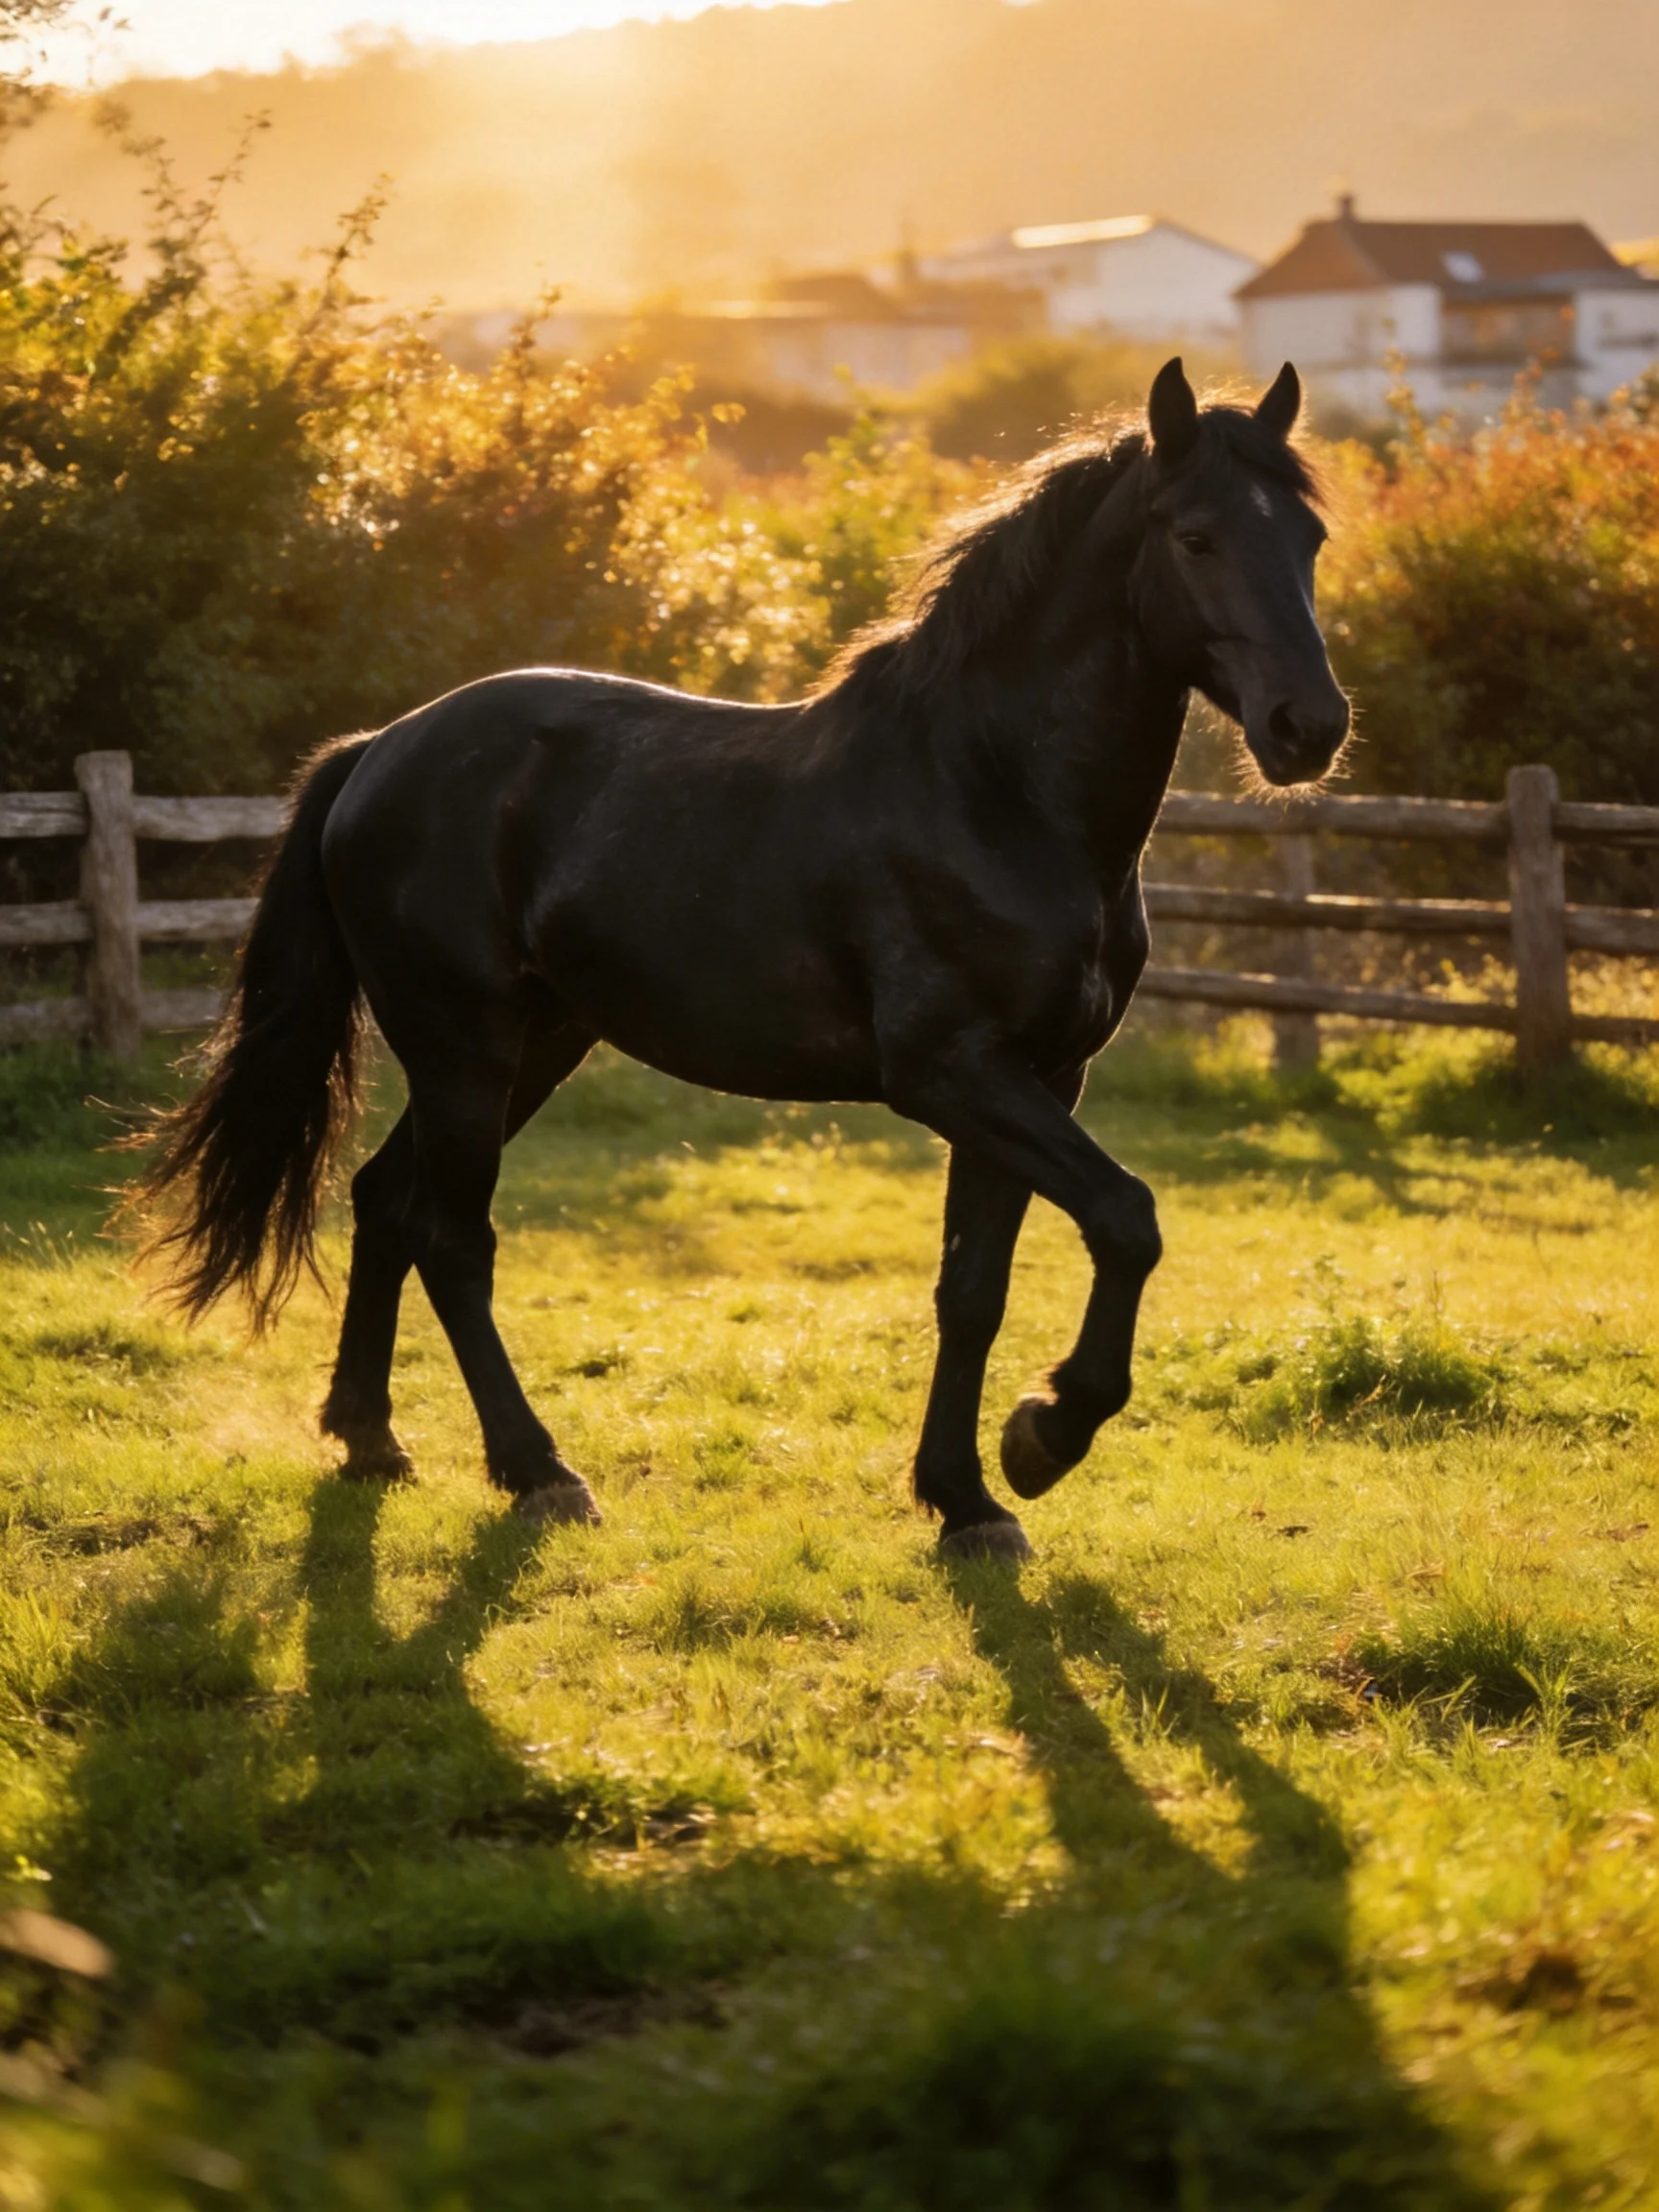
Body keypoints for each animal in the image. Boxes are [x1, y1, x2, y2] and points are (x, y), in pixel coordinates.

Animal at [138, 357, 1348, 1562]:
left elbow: (975, 1288)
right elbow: (1126, 1219)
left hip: (533, 1045)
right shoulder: (953, 1074)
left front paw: (967, 1498)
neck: (992, 793)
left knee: (387, 1202)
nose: (1312, 727)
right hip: (462, 1049)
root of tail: (375, 751)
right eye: (1194, 537)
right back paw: (540, 1473)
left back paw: (370, 1438)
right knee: (451, 1236)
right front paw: (1046, 1435)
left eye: (1310, 539)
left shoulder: (1044, 1077)